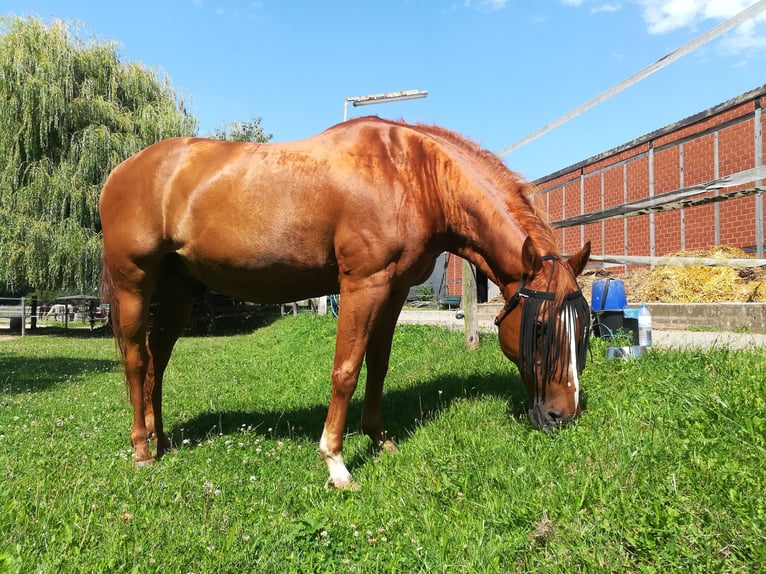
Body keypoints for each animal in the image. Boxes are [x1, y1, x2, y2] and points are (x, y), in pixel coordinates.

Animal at [100, 117, 592, 490]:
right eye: (541, 327)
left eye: (584, 328)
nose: (564, 414)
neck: (412, 174)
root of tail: (120, 172)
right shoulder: (362, 285)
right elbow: (346, 370)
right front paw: (336, 463)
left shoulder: (393, 290)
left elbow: (378, 364)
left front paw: (378, 439)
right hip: (134, 284)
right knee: (136, 360)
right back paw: (142, 449)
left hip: (178, 291)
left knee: (157, 360)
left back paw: (162, 440)